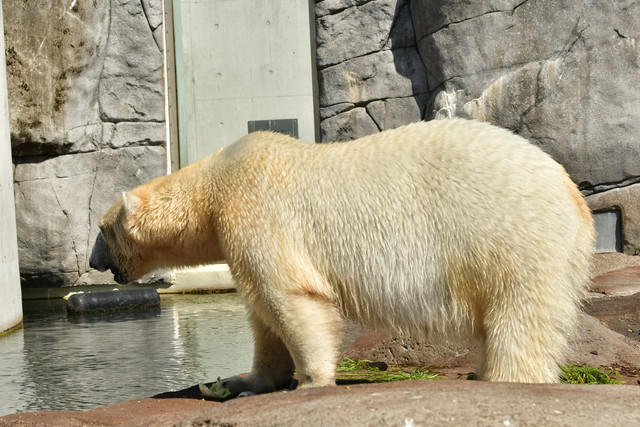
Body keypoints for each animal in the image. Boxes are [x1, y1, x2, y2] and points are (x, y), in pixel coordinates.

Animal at [90, 118, 594, 395]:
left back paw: (505, 379)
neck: (213, 188)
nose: (93, 263)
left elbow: (289, 298)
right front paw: (242, 382)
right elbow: (262, 318)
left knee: (520, 317)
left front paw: (312, 381)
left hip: (512, 236)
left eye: (101, 229)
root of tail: (576, 199)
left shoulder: (255, 209)